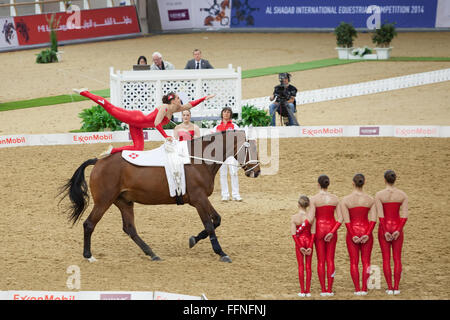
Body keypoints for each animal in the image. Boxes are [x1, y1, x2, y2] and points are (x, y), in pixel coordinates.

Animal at [61, 129, 262, 264]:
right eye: (250, 148)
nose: (257, 172)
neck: (198, 160)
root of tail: (98, 161)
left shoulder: (201, 199)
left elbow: (217, 220)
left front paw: (193, 240)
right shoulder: (199, 200)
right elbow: (210, 225)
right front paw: (221, 252)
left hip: (124, 202)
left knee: (129, 228)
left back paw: (151, 253)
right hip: (104, 201)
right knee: (89, 224)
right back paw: (88, 256)